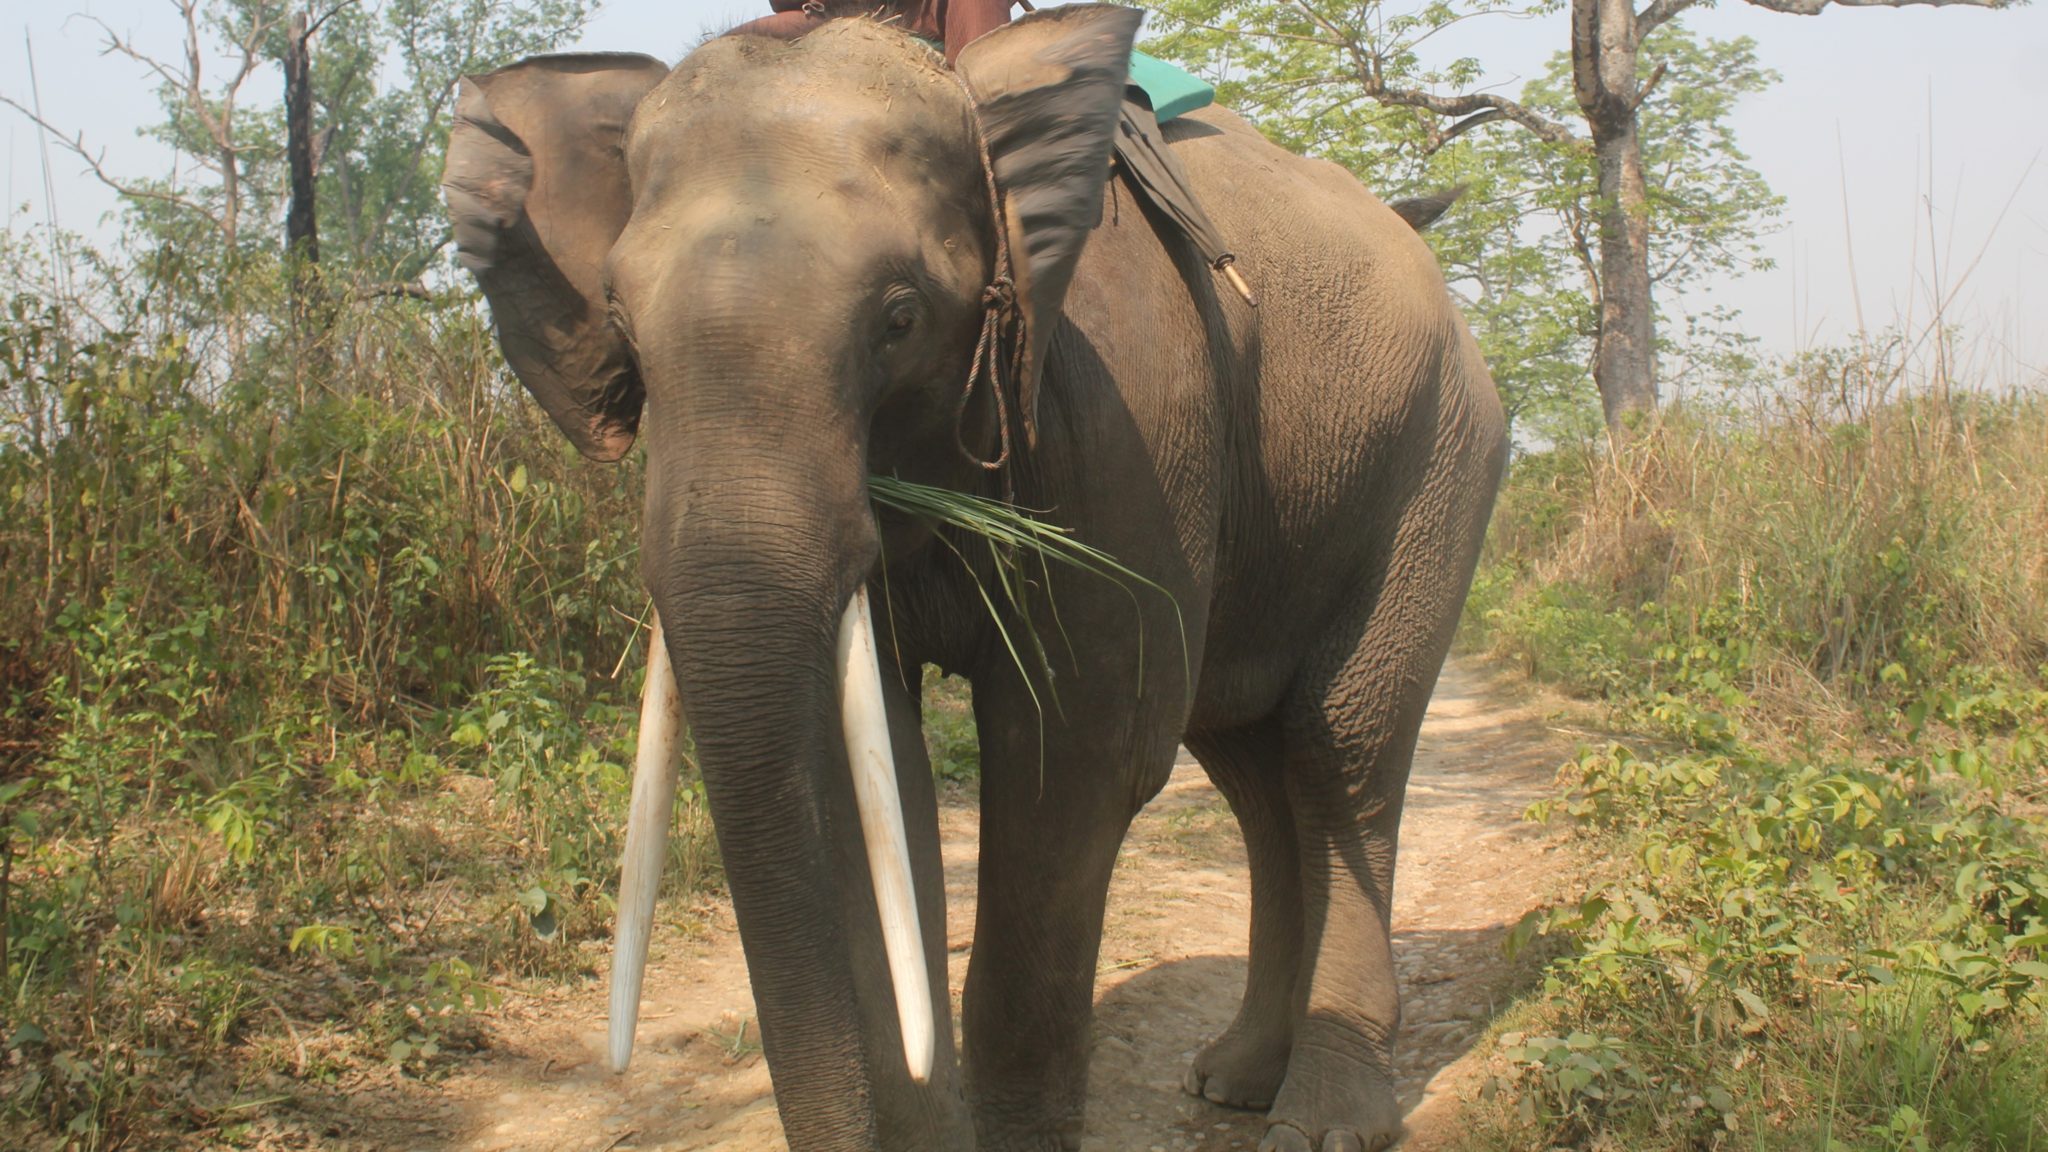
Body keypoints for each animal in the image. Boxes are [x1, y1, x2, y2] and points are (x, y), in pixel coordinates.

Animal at [444, 8, 1507, 1147]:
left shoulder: (1121, 415)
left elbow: (1082, 751)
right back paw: (1231, 1081)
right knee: (1249, 765)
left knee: (1334, 745)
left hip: (1439, 462)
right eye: (621, 328)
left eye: (900, 318)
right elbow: (860, 769)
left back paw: (1320, 1117)